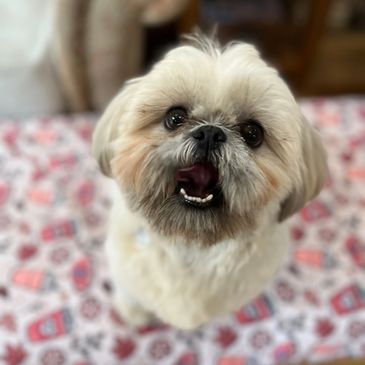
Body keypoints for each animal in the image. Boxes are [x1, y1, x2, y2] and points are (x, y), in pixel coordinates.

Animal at [91, 34, 328, 330]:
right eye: (174, 117)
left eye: (253, 133)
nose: (210, 133)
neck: (192, 247)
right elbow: (130, 292)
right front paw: (133, 313)